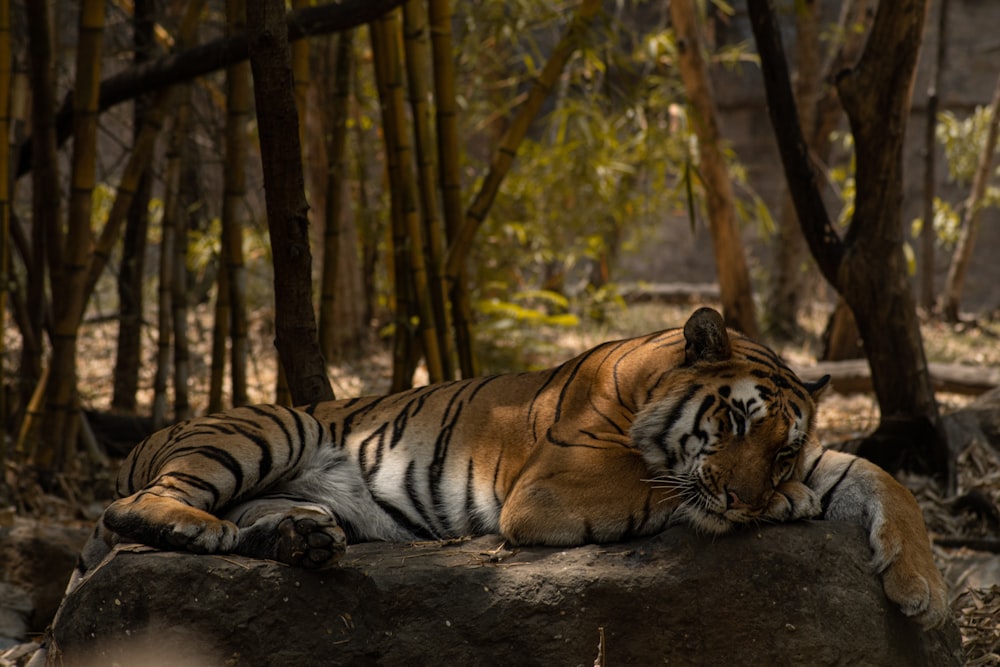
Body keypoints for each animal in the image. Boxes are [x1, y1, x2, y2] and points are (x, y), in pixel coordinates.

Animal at [74, 308, 948, 632]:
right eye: (732, 422)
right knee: (134, 509)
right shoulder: (552, 486)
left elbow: (885, 478)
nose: (749, 497)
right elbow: (659, 484)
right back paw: (200, 526)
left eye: (784, 445)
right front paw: (789, 505)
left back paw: (302, 538)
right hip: (269, 426)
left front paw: (921, 589)